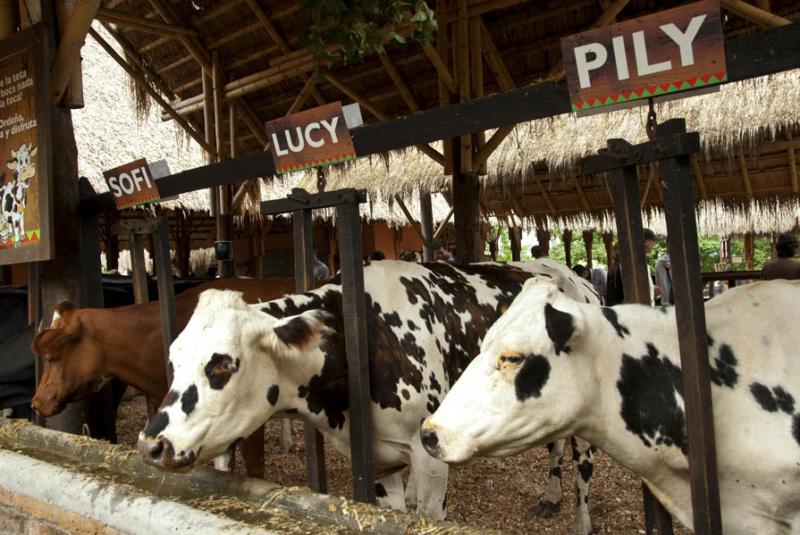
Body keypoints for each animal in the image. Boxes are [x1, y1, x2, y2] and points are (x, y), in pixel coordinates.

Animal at [139, 260, 600, 532]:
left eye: (221, 365)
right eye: (174, 359)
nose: (151, 444)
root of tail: (569, 275)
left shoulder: (430, 453)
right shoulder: (378, 458)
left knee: (583, 465)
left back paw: (581, 521)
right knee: (556, 442)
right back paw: (550, 495)